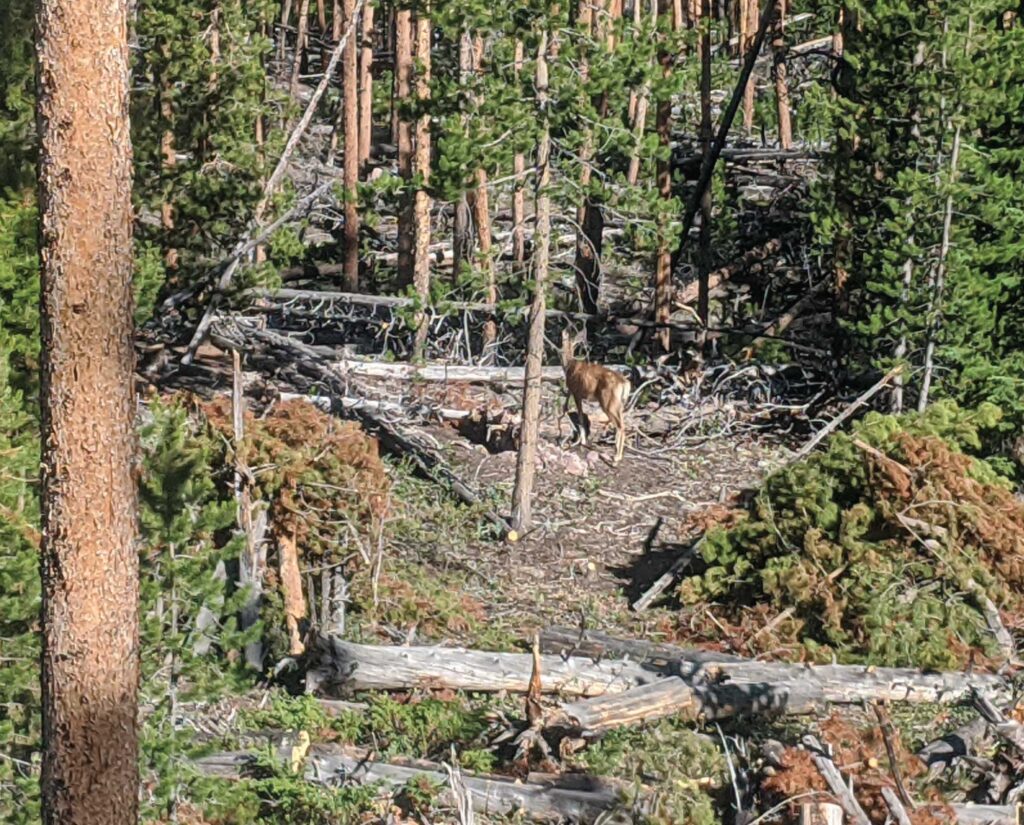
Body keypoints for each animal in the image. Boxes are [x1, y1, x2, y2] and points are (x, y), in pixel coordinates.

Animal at [559, 326, 631, 464]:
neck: (569, 365)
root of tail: (624, 383)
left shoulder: (577, 392)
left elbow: (580, 416)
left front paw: (582, 441)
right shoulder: (573, 392)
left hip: (608, 402)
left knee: (620, 426)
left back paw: (616, 458)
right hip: (619, 403)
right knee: (622, 423)